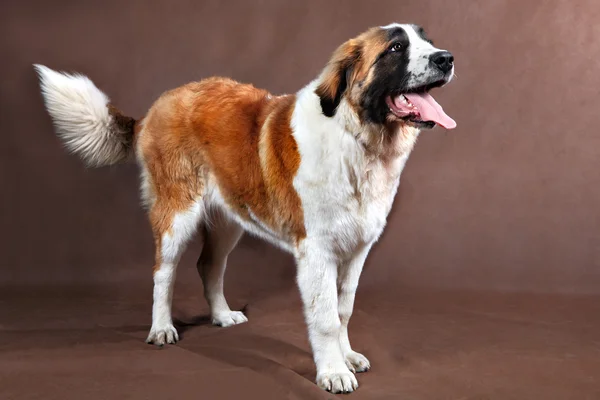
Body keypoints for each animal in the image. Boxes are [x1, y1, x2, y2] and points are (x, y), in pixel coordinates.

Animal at [35, 22, 458, 394]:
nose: (446, 58)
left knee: (208, 266)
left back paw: (222, 316)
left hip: (229, 221)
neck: (358, 139)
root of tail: (159, 105)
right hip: (177, 214)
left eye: (426, 41)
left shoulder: (357, 249)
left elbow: (344, 310)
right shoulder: (317, 251)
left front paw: (347, 355)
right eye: (396, 48)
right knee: (163, 273)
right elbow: (324, 317)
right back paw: (161, 328)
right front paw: (333, 372)